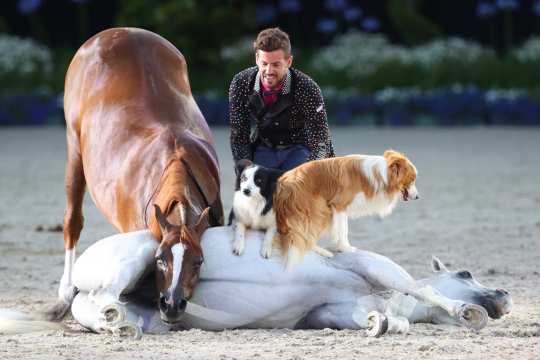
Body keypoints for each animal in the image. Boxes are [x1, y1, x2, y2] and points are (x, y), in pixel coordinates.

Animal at [53, 27, 223, 324]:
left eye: (198, 261)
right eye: (159, 259)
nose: (172, 304)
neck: (174, 164)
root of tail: (120, 31)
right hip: (74, 147)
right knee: (72, 221)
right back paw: (64, 293)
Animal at [274, 150, 418, 268]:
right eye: (412, 180)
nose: (418, 197)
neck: (380, 175)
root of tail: (284, 183)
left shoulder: (341, 209)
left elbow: (342, 228)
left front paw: (341, 247)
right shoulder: (339, 205)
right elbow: (343, 229)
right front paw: (345, 248)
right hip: (319, 208)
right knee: (304, 235)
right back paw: (323, 252)